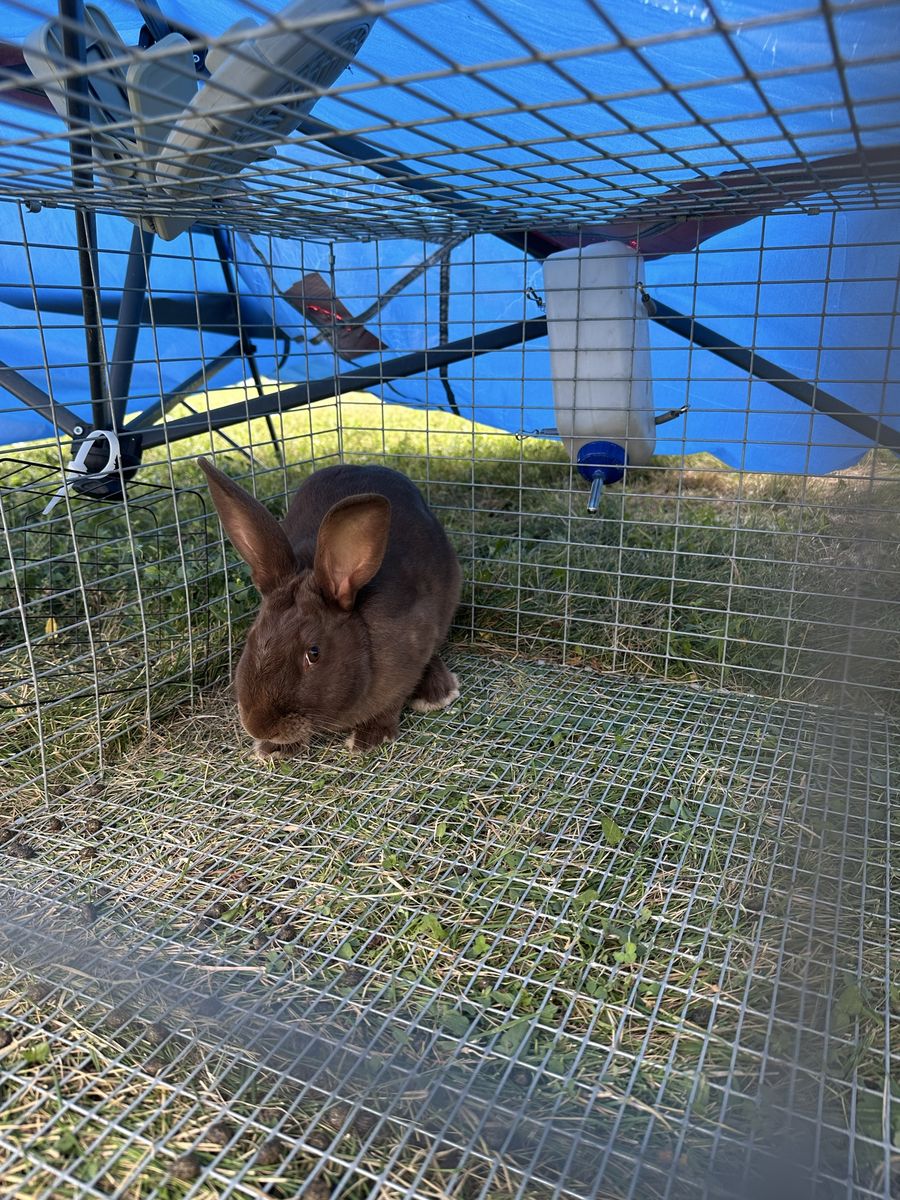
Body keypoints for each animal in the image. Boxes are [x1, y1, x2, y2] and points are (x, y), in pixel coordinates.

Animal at [198, 458, 461, 758]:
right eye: (251, 637)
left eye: (314, 653)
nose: (258, 727)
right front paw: (273, 749)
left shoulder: (410, 656)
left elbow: (391, 704)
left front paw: (369, 738)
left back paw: (437, 692)